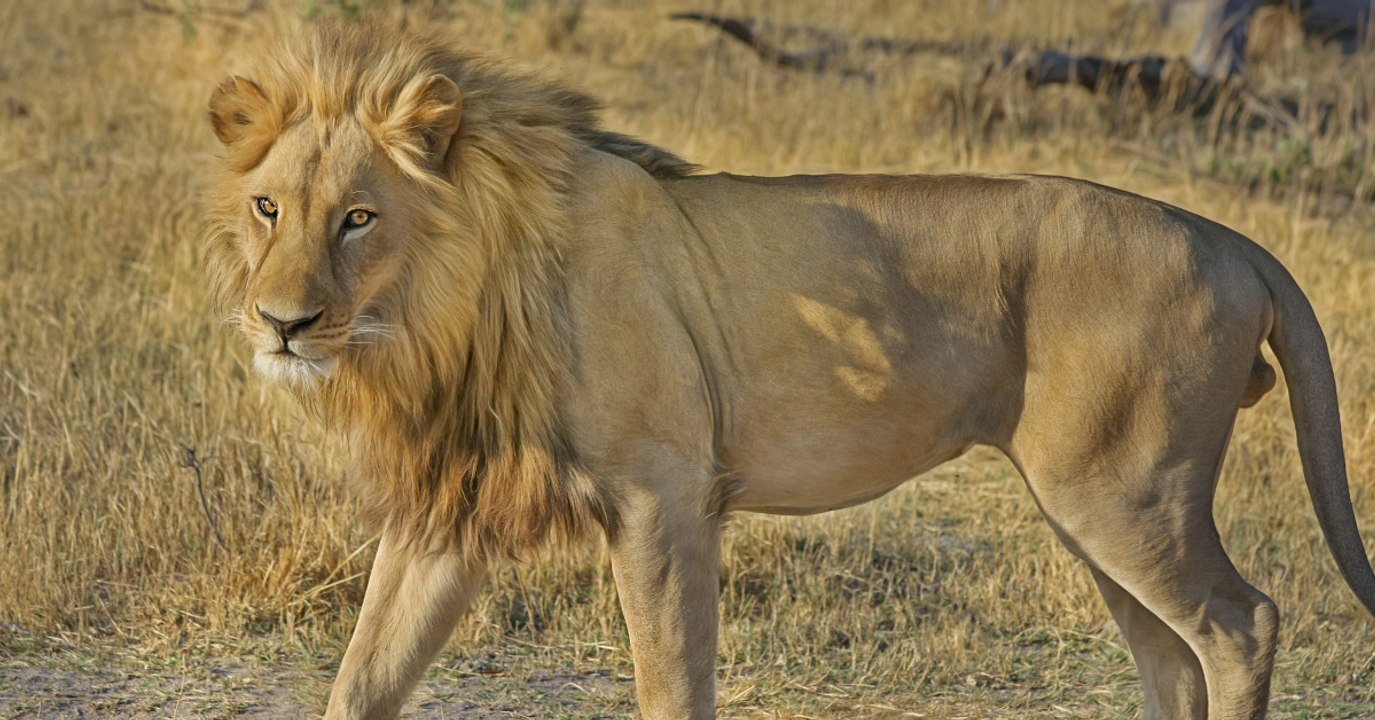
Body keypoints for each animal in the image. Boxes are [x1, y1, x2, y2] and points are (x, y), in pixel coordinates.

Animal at [205, 23, 1375, 720]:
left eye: (359, 218)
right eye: (269, 208)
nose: (282, 323)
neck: (439, 318)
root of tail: (1227, 237)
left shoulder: (662, 494)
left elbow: (671, 682)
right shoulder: (448, 510)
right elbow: (362, 676)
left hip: (1123, 494)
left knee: (1241, 624)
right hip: (1094, 510)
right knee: (1171, 654)